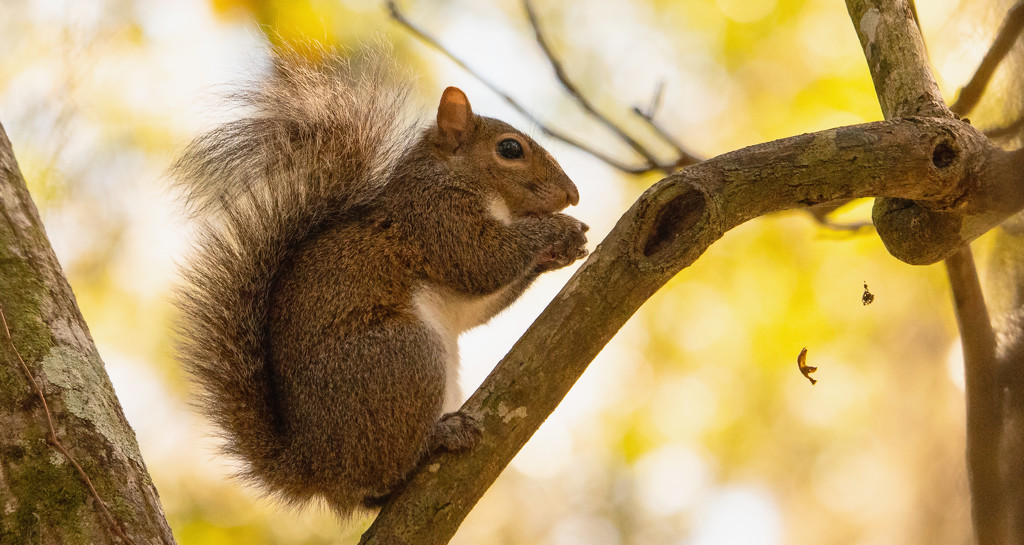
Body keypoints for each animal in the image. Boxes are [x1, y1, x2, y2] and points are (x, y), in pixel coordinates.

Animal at [173, 45, 589, 514]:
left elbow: (479, 305)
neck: (452, 176)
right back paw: (440, 436)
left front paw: (563, 250)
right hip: (404, 356)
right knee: (390, 466)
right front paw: (557, 231)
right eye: (510, 149)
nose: (572, 195)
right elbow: (482, 261)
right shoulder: (436, 220)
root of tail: (317, 470)